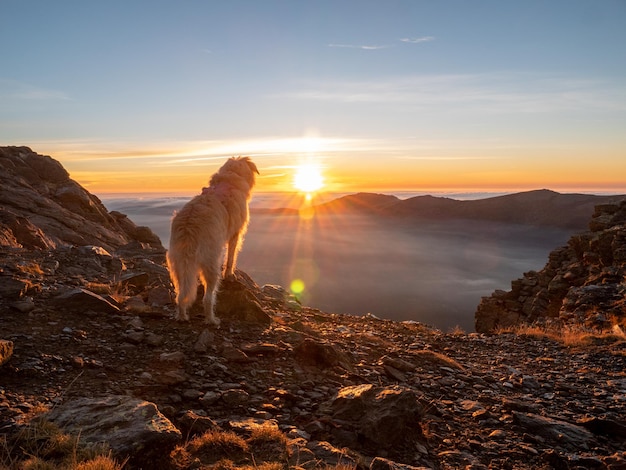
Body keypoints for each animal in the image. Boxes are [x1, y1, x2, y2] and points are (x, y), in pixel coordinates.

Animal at [166, 156, 258, 324]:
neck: (229, 180)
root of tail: (189, 227)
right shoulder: (235, 234)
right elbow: (231, 257)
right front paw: (230, 275)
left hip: (178, 264)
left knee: (181, 295)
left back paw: (182, 316)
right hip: (211, 263)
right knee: (207, 298)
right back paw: (212, 320)